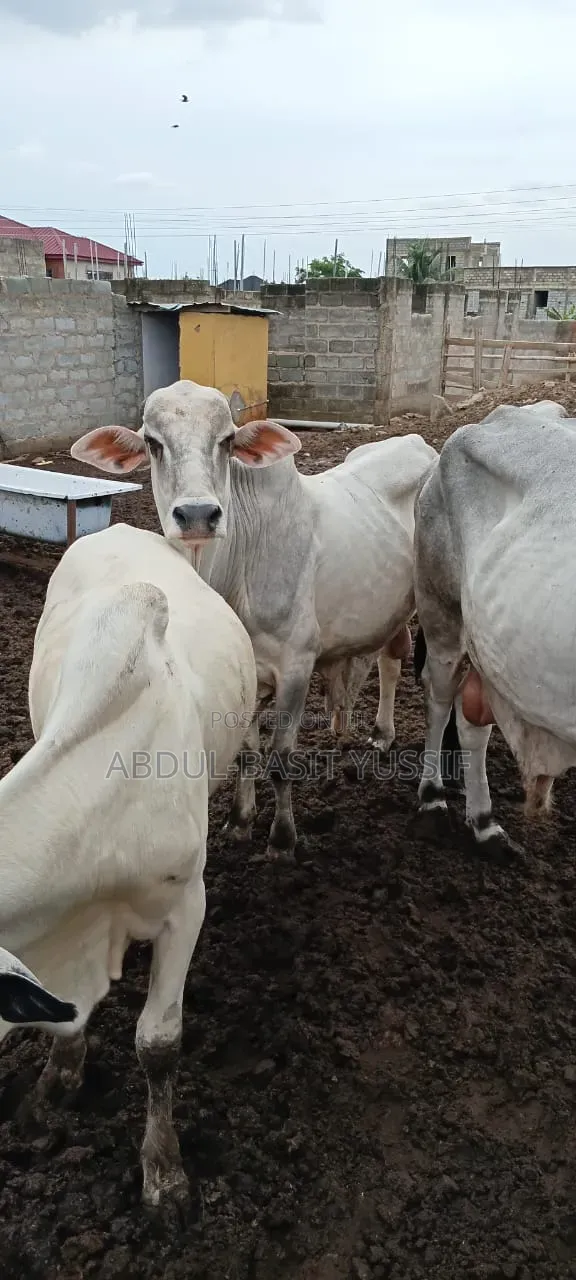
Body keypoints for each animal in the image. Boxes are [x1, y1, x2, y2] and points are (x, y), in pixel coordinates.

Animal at [71, 380, 439, 861]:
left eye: (227, 441)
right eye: (152, 442)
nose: (197, 515)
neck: (236, 574)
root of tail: (416, 441)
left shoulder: (297, 667)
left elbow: (280, 761)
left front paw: (282, 840)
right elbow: (247, 752)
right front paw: (239, 821)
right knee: (390, 659)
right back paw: (379, 732)